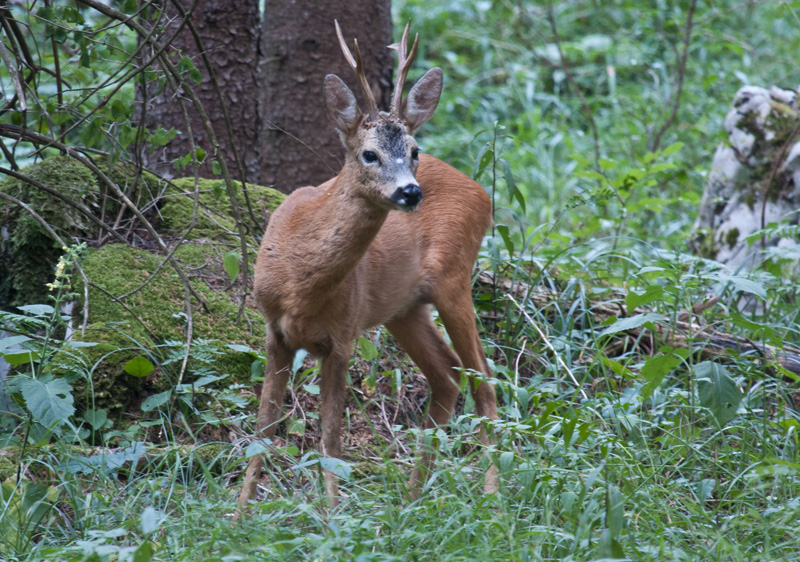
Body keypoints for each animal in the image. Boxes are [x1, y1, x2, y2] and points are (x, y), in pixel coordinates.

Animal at [236, 20, 500, 512]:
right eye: (369, 154)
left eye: (414, 150)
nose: (410, 192)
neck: (302, 286)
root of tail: (480, 191)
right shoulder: (274, 332)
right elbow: (262, 430)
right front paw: (239, 517)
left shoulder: (342, 336)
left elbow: (331, 441)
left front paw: (332, 519)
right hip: (404, 309)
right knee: (448, 375)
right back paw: (410, 502)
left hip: (455, 280)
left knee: (484, 379)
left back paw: (491, 500)